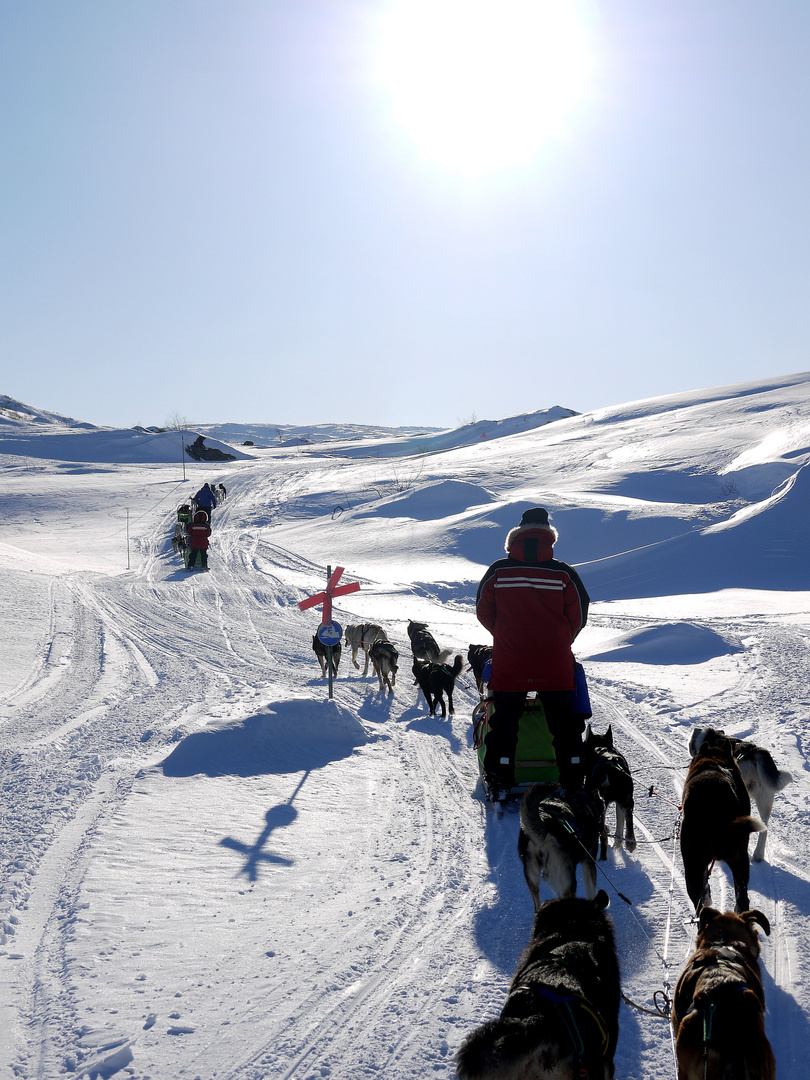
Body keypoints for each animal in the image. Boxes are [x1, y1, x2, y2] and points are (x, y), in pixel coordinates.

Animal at [587, 725, 639, 859]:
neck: (602, 747)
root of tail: (608, 767)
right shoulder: (619, 803)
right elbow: (620, 825)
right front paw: (618, 845)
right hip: (626, 798)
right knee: (628, 815)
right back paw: (630, 841)